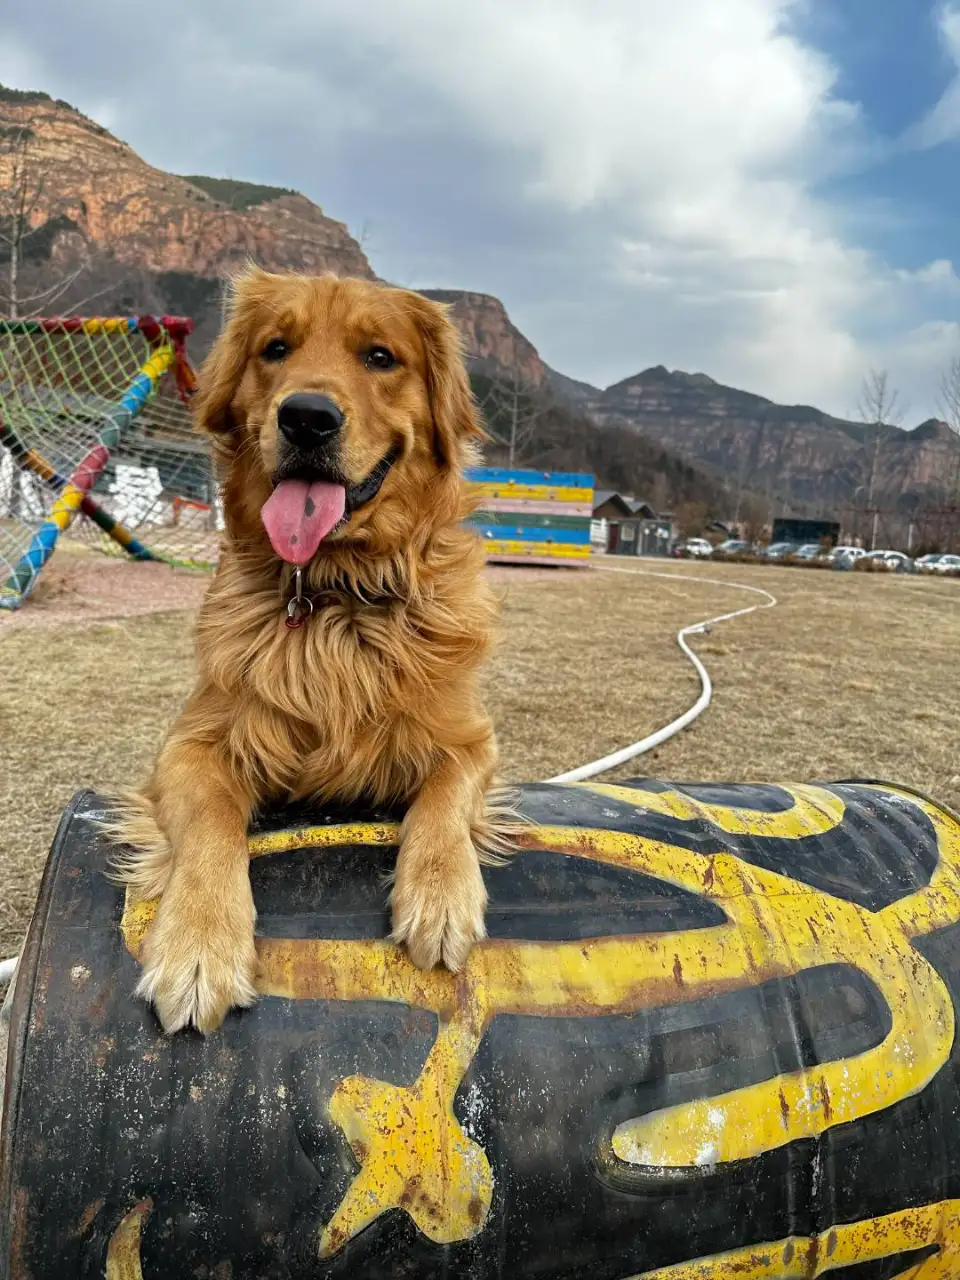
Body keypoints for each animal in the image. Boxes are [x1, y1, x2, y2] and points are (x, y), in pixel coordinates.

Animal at [113, 264, 506, 1034]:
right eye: (276, 348)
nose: (306, 418)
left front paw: (441, 896)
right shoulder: (190, 746)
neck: (333, 595)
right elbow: (212, 822)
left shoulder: (470, 738)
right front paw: (198, 944)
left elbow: (445, 798)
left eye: (380, 357)